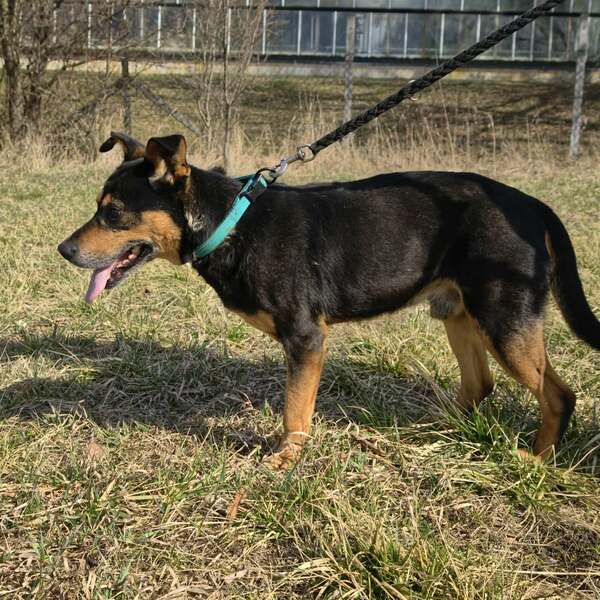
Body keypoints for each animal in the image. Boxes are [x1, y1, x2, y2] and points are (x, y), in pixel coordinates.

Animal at [58, 131, 600, 468]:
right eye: (98, 208)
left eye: (114, 213)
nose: (63, 251)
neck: (231, 222)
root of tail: (534, 205)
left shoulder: (306, 340)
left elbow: (295, 411)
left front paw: (284, 460)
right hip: (461, 314)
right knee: (481, 384)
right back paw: (439, 430)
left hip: (504, 321)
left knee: (558, 395)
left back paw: (536, 460)